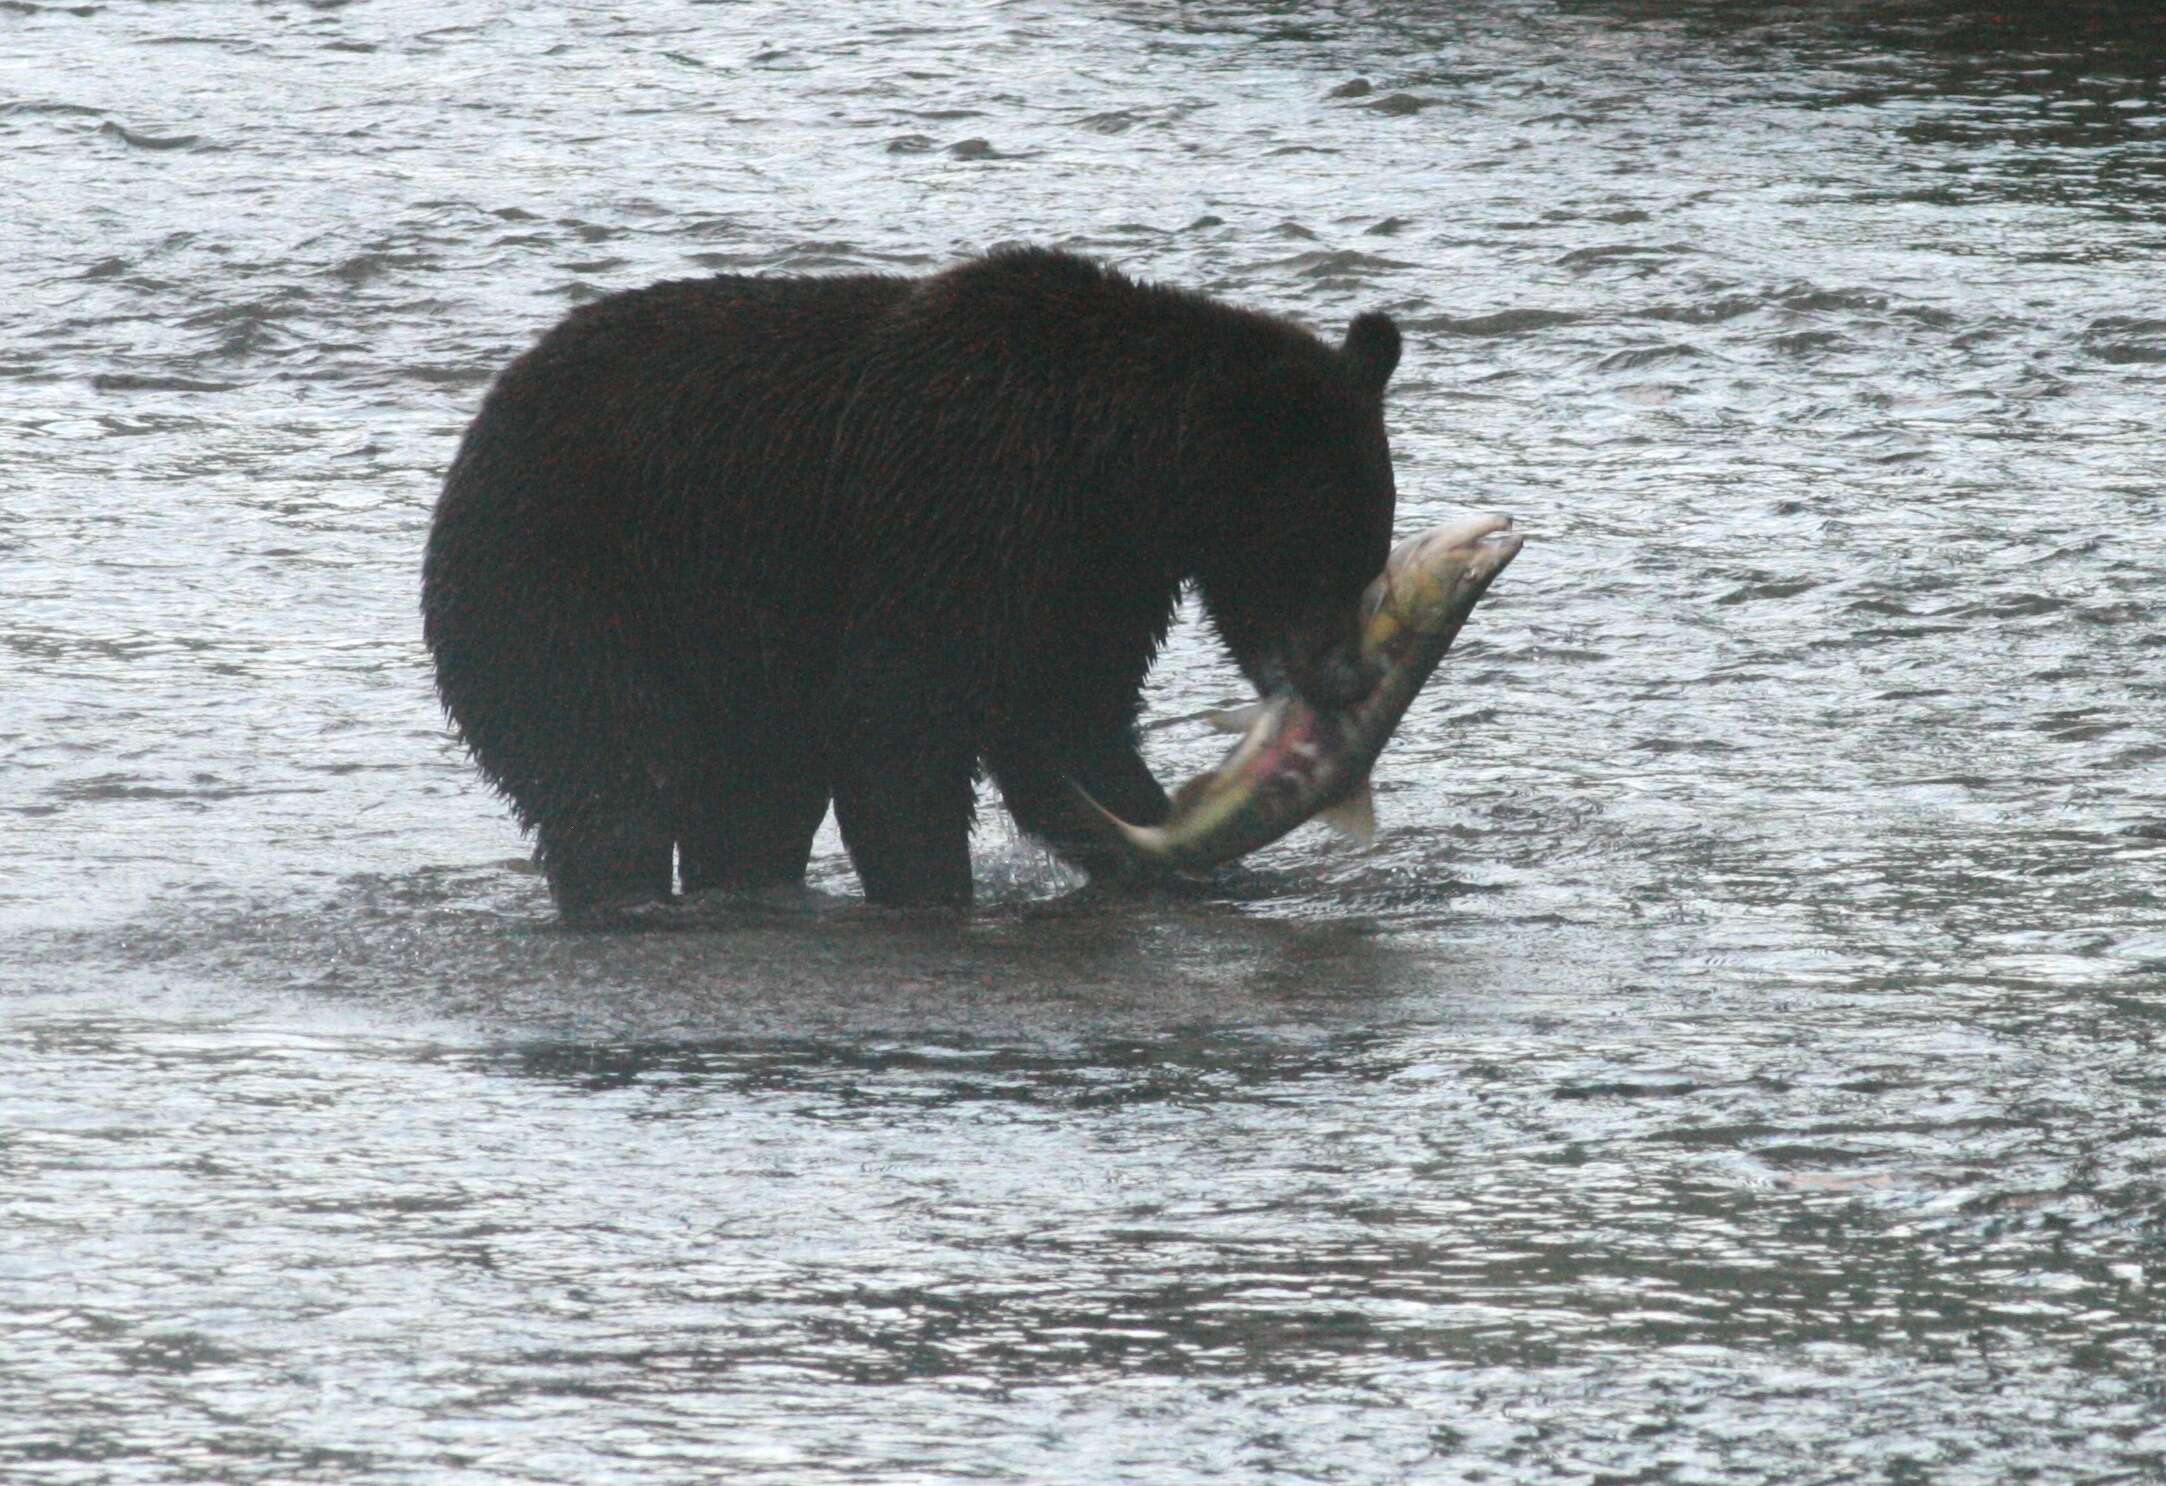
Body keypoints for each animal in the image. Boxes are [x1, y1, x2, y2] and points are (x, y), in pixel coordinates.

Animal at [422, 244, 1403, 918]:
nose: (1352, 675)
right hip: (570, 578)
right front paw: (935, 890)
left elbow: (1072, 722)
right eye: (1320, 551)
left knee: (751, 796)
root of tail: (478, 429)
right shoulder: (953, 510)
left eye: (1370, 552)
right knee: (610, 766)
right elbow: (898, 725)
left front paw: (1172, 850)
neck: (1111, 471)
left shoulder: (1091, 578)